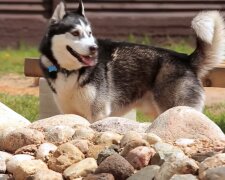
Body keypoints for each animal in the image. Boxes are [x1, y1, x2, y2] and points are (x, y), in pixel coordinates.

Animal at [39, 0, 225, 122]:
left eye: (89, 33)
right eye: (75, 33)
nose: (94, 48)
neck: (71, 71)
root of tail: (185, 58)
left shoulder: (98, 114)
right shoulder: (70, 113)